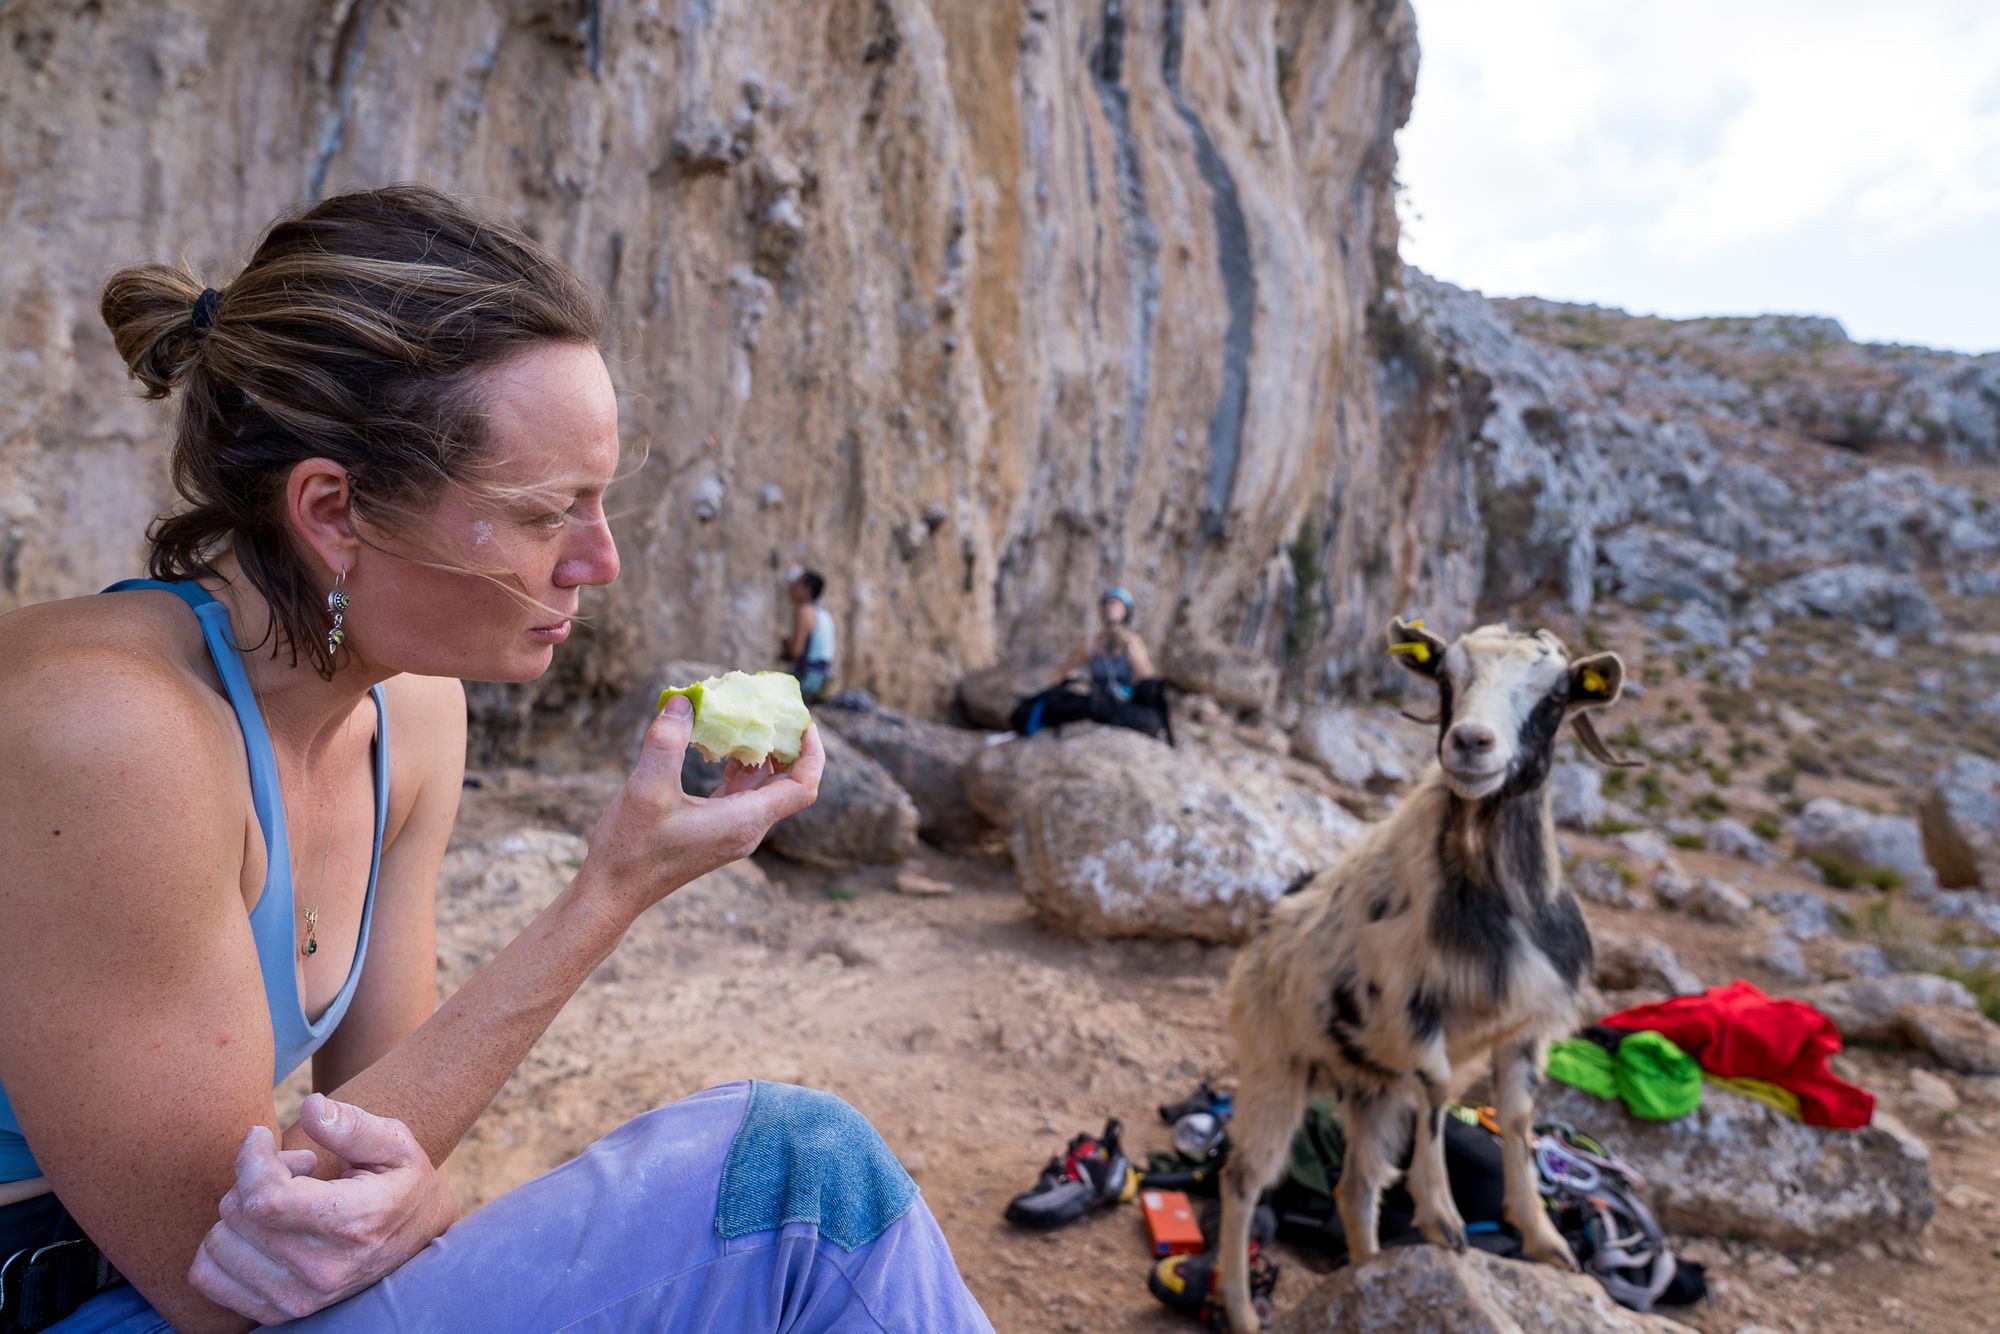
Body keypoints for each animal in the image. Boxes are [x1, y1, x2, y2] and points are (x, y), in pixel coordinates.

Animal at [1216, 620, 1624, 1328]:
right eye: (1445, 678)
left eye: (1554, 696)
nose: (1471, 742)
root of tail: (1263, 934)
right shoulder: (1412, 1010)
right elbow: (1437, 1091)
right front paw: (1442, 1219)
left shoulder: (1525, 1028)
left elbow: (1518, 1117)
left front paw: (1544, 1238)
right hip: (1275, 1068)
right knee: (1243, 1180)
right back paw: (1241, 1311)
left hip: (1374, 1091)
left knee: (1354, 1187)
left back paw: (1366, 1269)